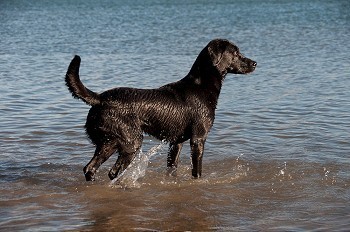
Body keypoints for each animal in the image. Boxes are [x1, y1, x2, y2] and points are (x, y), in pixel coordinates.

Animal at [66, 38, 258, 181]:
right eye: (236, 53)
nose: (255, 63)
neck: (200, 85)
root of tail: (100, 98)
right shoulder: (198, 139)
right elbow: (197, 171)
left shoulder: (176, 142)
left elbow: (172, 168)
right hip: (131, 142)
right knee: (112, 172)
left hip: (109, 142)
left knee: (90, 168)